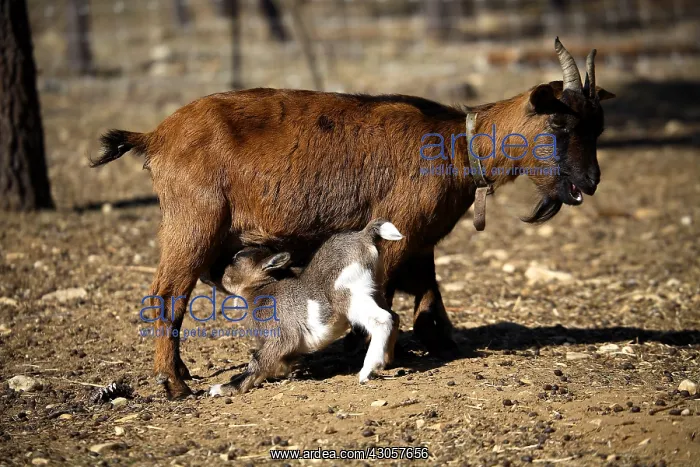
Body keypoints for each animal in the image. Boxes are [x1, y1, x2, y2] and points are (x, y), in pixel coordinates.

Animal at [207, 219, 404, 395]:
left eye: (235, 259)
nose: (217, 275)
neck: (262, 290)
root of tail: (363, 235)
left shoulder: (282, 334)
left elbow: (258, 359)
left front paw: (224, 388)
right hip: (374, 289)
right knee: (394, 316)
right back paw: (387, 361)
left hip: (347, 293)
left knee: (381, 319)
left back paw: (367, 370)